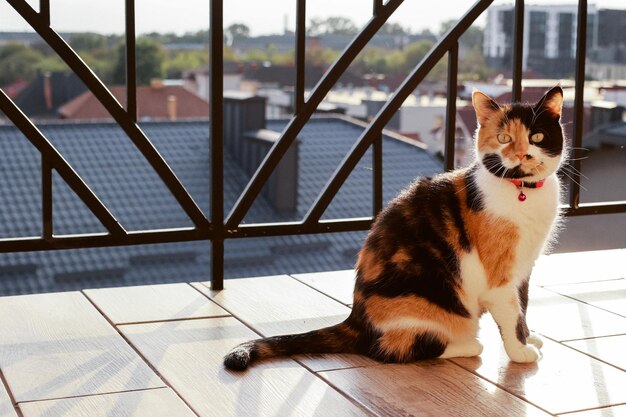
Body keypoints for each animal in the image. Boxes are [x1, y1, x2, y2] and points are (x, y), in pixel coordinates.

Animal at [222, 85, 564, 370]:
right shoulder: (500, 276)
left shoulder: (525, 268)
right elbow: (511, 313)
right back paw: (468, 344)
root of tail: (356, 319)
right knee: (390, 350)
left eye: (536, 137)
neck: (524, 192)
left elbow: (523, 307)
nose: (521, 154)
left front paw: (529, 337)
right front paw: (520, 352)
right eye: (504, 138)